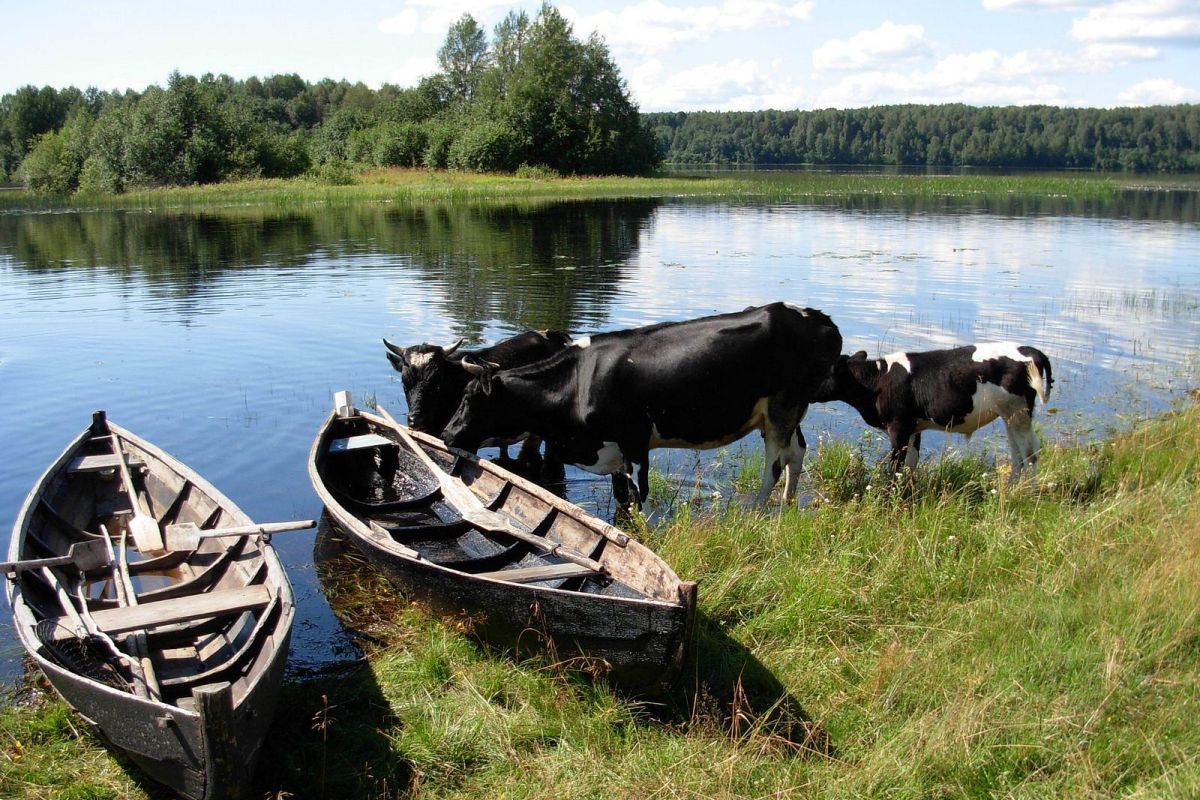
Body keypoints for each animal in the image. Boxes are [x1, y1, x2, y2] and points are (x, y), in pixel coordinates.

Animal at [441, 303, 843, 508]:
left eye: (469, 397)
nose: (446, 434)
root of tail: (819, 319)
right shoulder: (614, 451)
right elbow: (621, 499)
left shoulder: (634, 444)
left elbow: (640, 497)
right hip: (787, 412)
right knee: (796, 454)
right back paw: (787, 507)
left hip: (781, 409)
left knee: (774, 466)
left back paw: (753, 515)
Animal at [812, 343, 1053, 482]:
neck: (877, 381)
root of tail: (1029, 350)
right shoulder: (914, 427)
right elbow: (910, 465)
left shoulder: (898, 427)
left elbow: (895, 466)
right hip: (1010, 414)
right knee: (1017, 451)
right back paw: (1012, 487)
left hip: (1018, 411)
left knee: (1030, 450)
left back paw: (1026, 493)